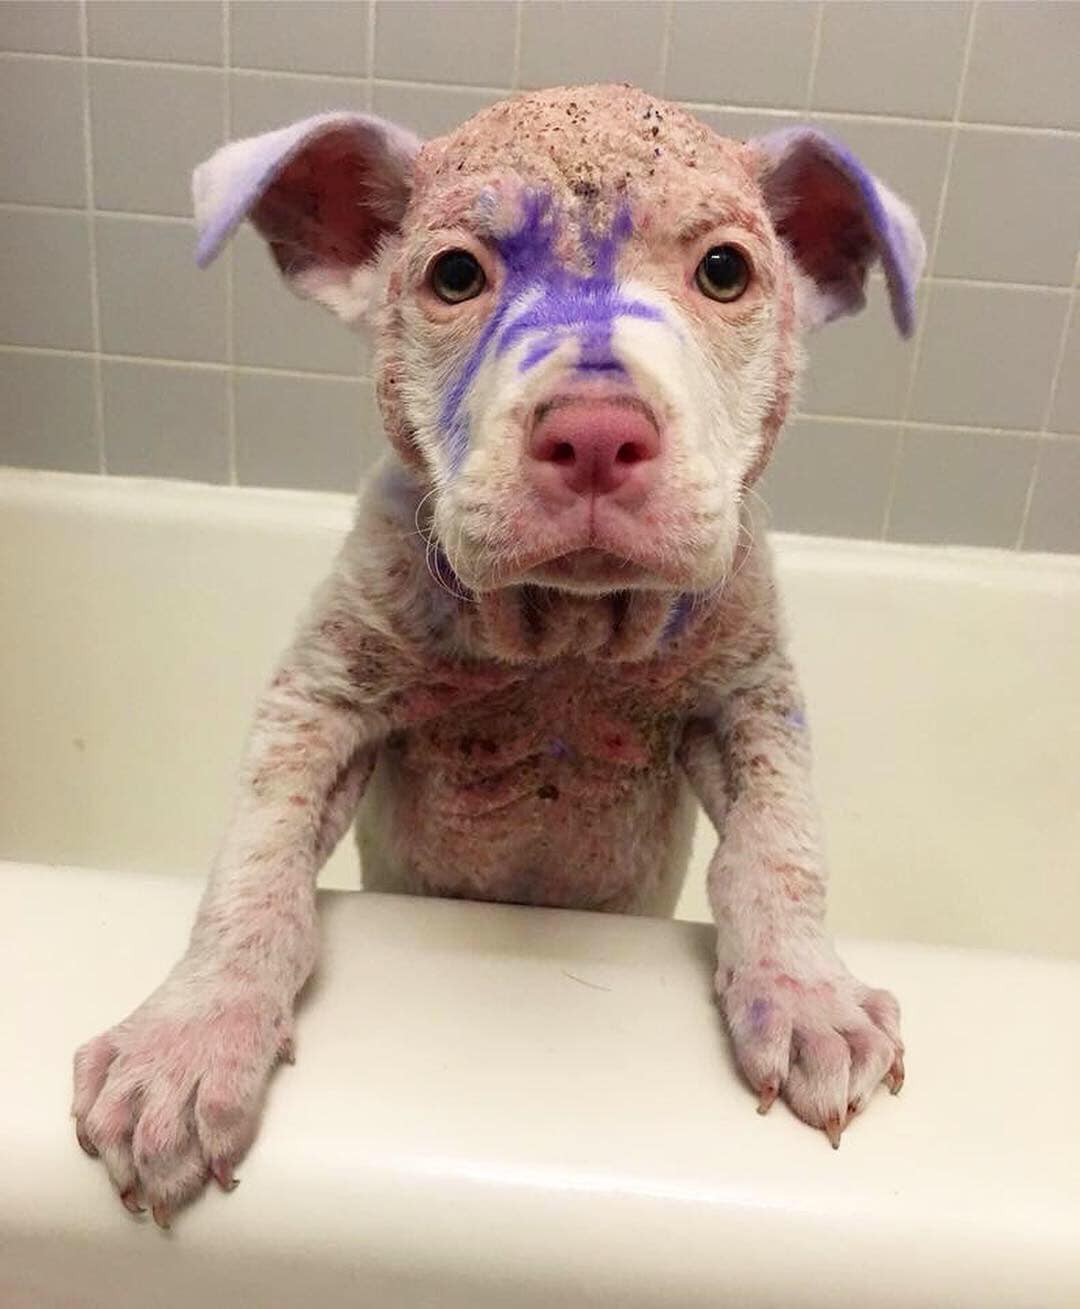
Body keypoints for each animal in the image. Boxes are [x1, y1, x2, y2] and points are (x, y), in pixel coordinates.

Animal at [71, 84, 921, 1225]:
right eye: (454, 276)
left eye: (726, 271)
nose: (597, 432)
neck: (565, 634)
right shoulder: (322, 700)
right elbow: (255, 865)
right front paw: (191, 1039)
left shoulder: (750, 699)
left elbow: (780, 848)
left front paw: (806, 994)